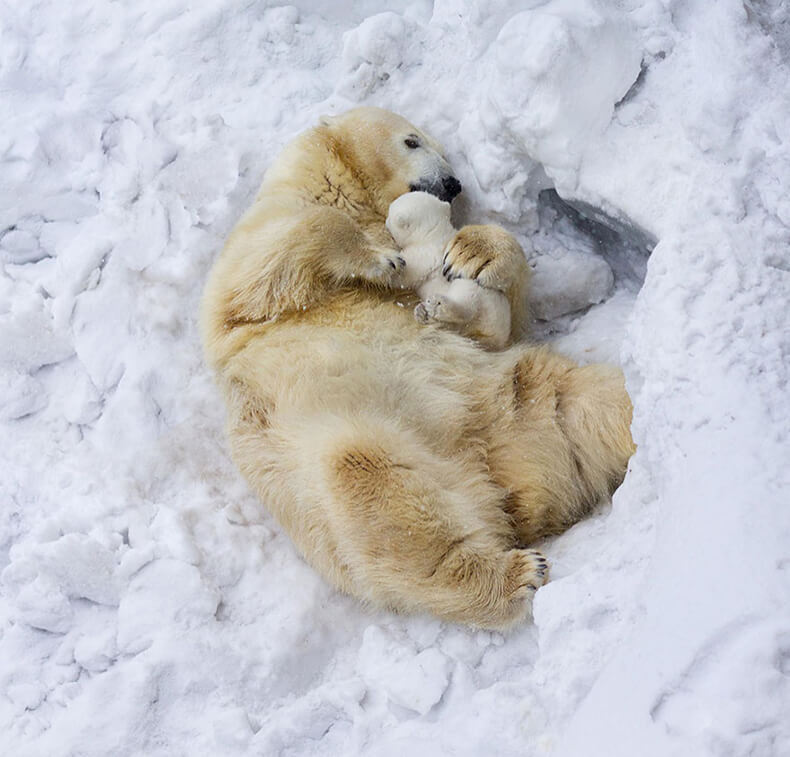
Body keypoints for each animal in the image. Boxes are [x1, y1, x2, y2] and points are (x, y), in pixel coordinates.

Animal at [390, 189, 512, 348]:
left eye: (389, 216)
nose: (385, 221)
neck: (434, 231)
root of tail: (498, 336)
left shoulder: (425, 252)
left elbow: (407, 273)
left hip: (482, 297)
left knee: (467, 300)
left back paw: (436, 305)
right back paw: (423, 313)